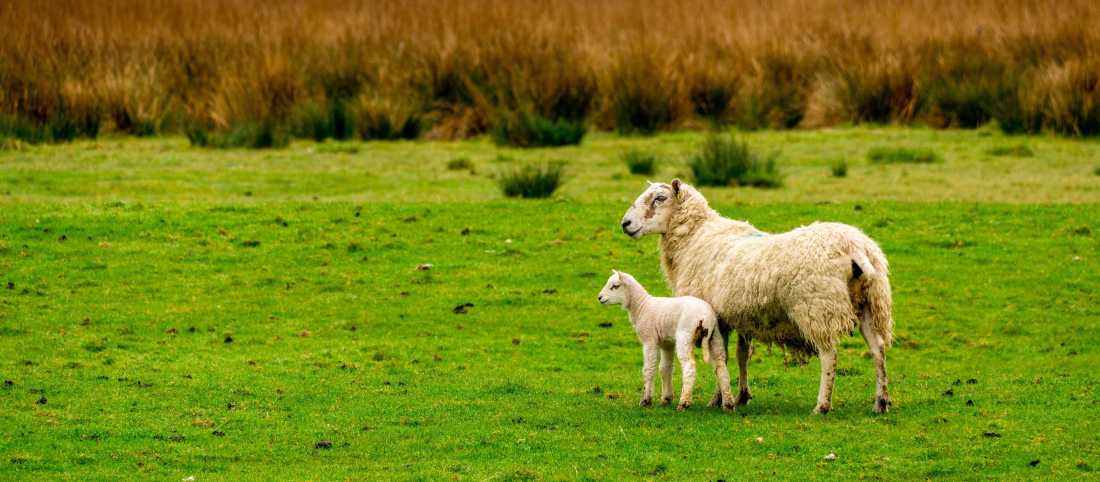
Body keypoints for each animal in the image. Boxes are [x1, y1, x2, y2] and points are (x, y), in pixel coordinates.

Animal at [598, 270, 734, 411]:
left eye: (615, 286)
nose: (599, 298)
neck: (641, 306)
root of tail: (705, 316)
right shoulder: (666, 343)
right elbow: (665, 368)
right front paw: (666, 398)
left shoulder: (649, 339)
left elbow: (649, 368)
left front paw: (646, 400)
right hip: (715, 336)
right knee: (721, 366)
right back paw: (728, 404)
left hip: (685, 335)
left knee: (689, 366)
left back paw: (684, 403)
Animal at [619, 180, 895, 414]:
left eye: (660, 198)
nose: (625, 224)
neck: (695, 238)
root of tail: (856, 248)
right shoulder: (740, 317)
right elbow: (741, 355)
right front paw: (741, 395)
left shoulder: (713, 317)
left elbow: (720, 357)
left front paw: (718, 399)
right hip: (869, 303)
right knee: (878, 349)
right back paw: (881, 402)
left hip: (817, 307)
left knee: (829, 356)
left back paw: (822, 405)